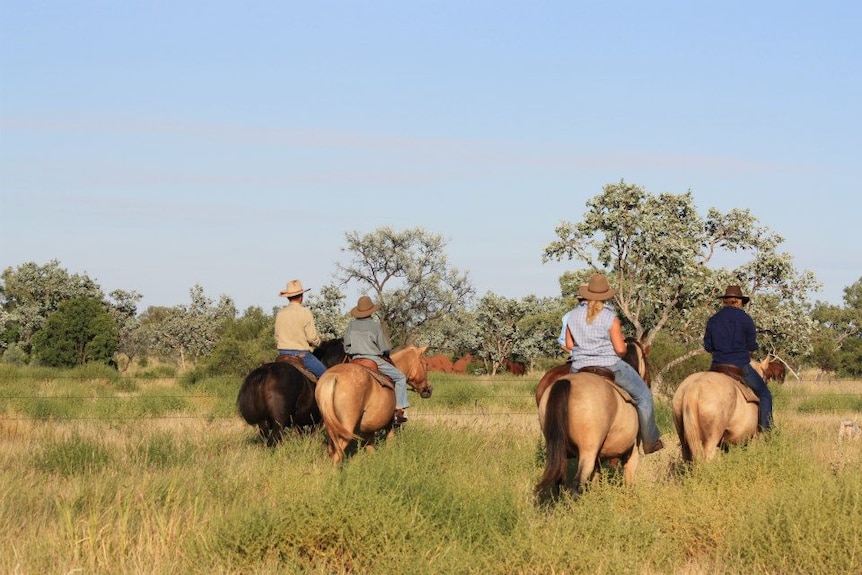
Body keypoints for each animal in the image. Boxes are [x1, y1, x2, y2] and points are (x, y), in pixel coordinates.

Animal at [536, 336, 652, 502]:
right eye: (648, 364)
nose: (649, 383)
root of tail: (565, 382)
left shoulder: (599, 456)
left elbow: (596, 479)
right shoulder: (632, 450)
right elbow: (628, 478)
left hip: (559, 448)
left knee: (559, 478)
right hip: (587, 453)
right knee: (576, 484)